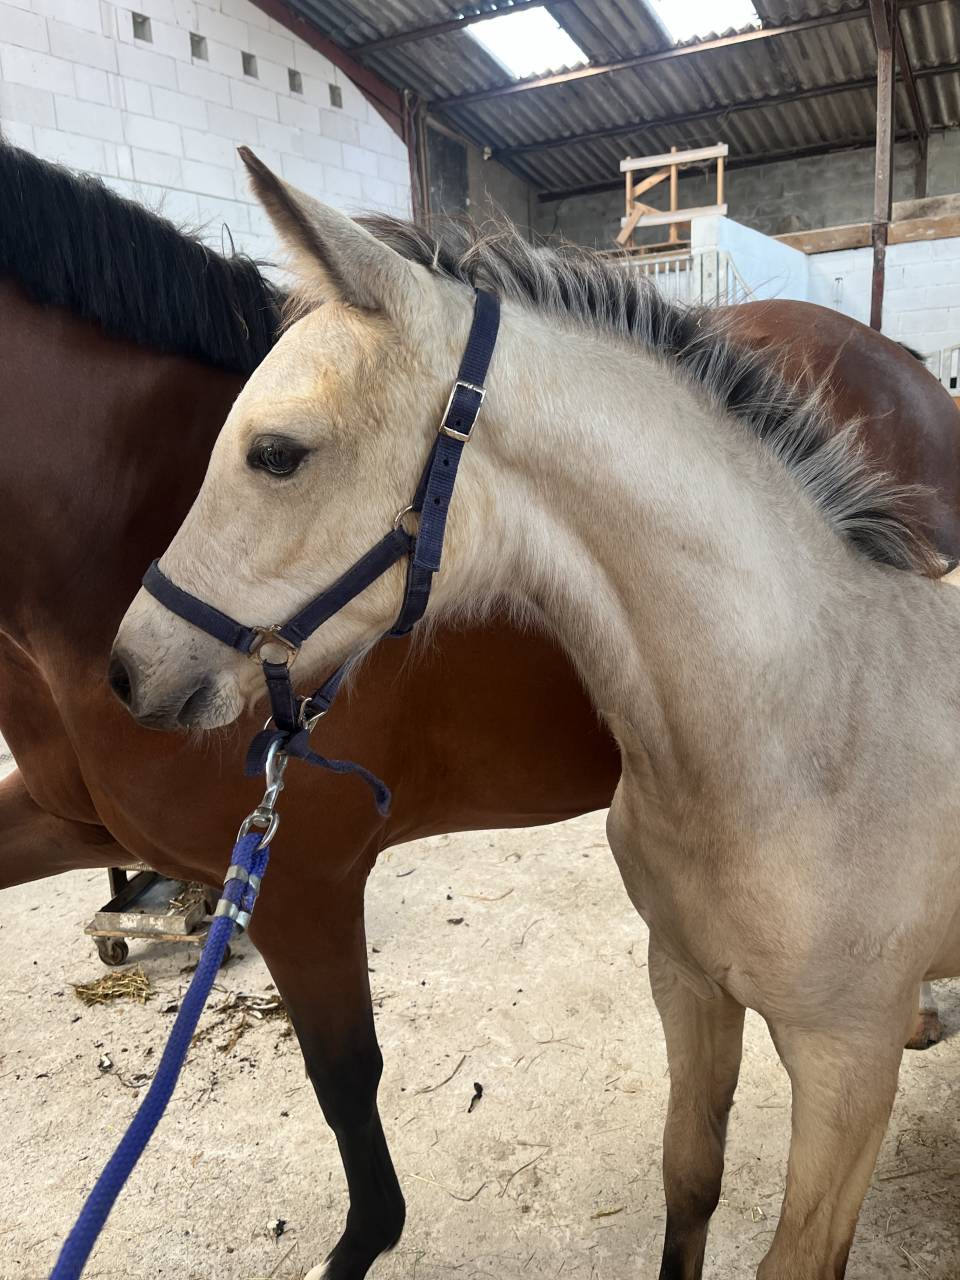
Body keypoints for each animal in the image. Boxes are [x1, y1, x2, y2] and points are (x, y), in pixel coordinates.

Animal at [2, 140, 959, 1278]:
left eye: (277, 452)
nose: (133, 668)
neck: (810, 726)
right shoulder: (688, 983)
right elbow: (690, 1182)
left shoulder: (304, 883)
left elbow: (349, 1086)